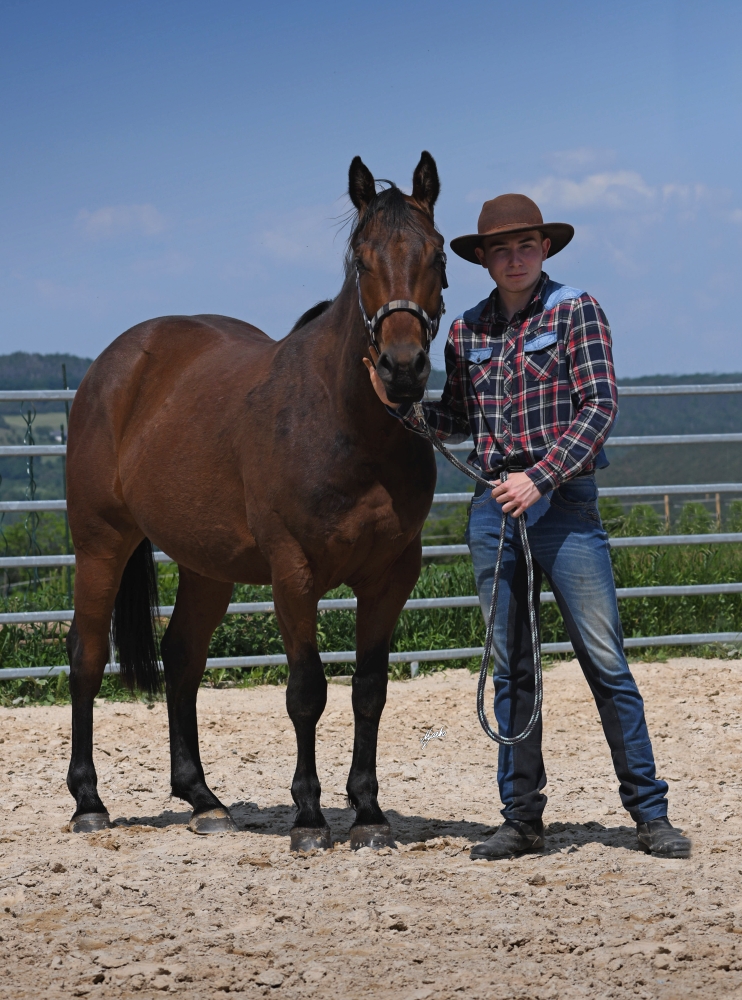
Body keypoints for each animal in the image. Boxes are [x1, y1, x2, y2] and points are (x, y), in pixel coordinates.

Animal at [65, 152, 448, 848]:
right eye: (361, 260)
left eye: (437, 255)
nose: (402, 367)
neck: (348, 426)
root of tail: (115, 365)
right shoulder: (293, 573)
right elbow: (306, 690)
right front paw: (310, 816)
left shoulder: (391, 575)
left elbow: (369, 689)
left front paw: (369, 813)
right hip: (100, 543)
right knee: (87, 655)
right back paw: (88, 802)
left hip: (206, 566)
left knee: (182, 658)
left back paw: (203, 800)